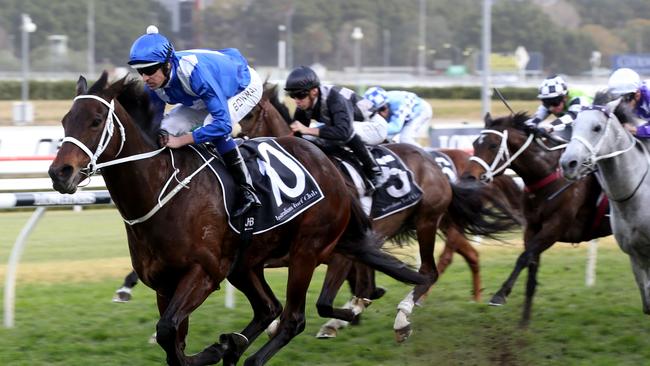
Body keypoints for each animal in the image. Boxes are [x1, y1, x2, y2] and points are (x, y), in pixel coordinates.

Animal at [48, 72, 428, 366]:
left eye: (96, 120)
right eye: (65, 120)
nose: (59, 173)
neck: (162, 190)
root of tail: (330, 168)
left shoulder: (204, 273)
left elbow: (168, 332)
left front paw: (217, 350)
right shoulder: (164, 284)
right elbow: (173, 342)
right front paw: (221, 346)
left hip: (306, 251)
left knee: (292, 318)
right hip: (246, 263)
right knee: (268, 308)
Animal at [234, 90, 516, 342]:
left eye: (250, 115)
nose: (237, 144)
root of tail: (434, 162)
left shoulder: (337, 251)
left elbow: (332, 298)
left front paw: (344, 315)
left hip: (427, 221)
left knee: (429, 270)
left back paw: (403, 317)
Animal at [464, 112, 612, 326]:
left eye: (492, 144)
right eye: (475, 143)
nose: (468, 177)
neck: (548, 175)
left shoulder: (555, 228)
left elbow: (523, 258)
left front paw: (500, 295)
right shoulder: (532, 227)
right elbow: (531, 268)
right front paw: (524, 323)